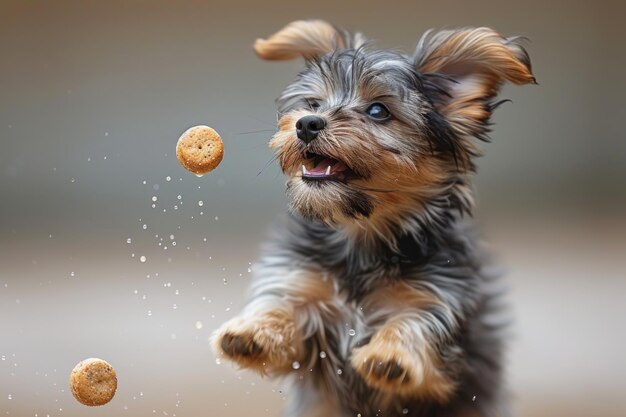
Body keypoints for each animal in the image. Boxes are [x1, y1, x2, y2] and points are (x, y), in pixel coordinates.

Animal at [212, 19, 532, 416]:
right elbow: (282, 301)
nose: (306, 123)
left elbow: (417, 321)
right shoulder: (304, 282)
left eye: (378, 111)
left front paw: (392, 356)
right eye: (312, 103)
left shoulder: (440, 296)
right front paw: (252, 332)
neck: (361, 230)